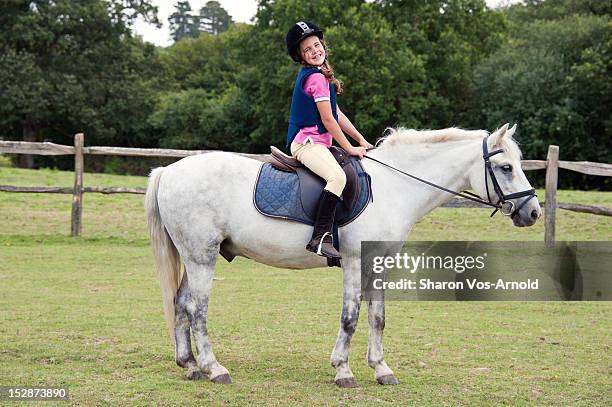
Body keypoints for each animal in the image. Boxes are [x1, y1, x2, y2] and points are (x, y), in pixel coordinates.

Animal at [145, 123, 540, 388]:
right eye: (506, 168)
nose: (533, 212)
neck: (394, 187)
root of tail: (169, 170)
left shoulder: (379, 263)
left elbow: (377, 317)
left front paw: (382, 369)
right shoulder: (352, 261)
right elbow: (350, 317)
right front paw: (343, 371)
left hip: (193, 257)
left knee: (180, 304)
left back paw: (190, 365)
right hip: (202, 258)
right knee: (197, 309)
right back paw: (214, 369)